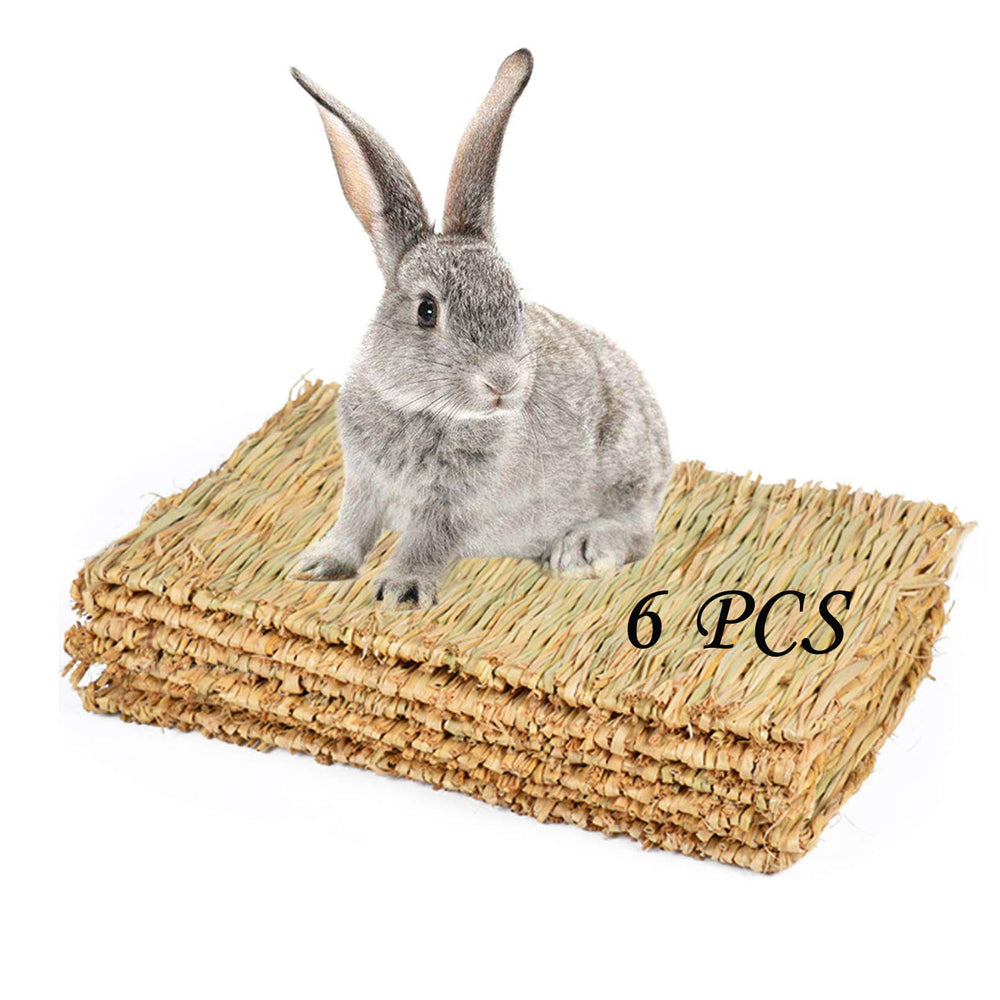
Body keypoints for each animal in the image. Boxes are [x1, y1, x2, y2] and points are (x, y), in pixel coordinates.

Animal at [288, 49, 673, 608]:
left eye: (515, 302)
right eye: (427, 310)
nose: (503, 381)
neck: (424, 408)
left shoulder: (454, 505)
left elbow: (427, 540)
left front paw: (401, 590)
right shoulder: (363, 480)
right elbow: (352, 524)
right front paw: (319, 564)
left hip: (625, 463)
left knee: (640, 530)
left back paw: (582, 550)